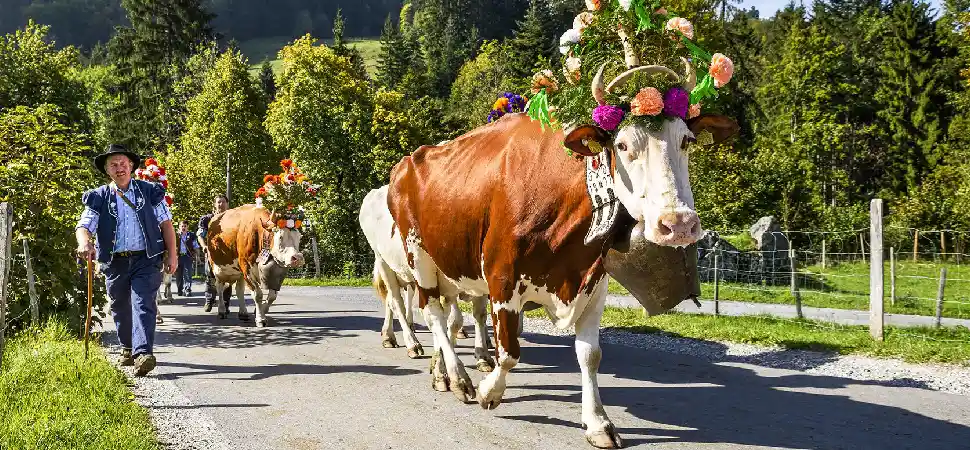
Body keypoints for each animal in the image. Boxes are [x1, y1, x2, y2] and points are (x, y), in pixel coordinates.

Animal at [360, 185, 496, 374]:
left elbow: (479, 315)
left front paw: (482, 355)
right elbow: (453, 319)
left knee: (391, 300)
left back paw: (389, 335)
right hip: (383, 261)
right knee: (396, 302)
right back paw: (411, 343)